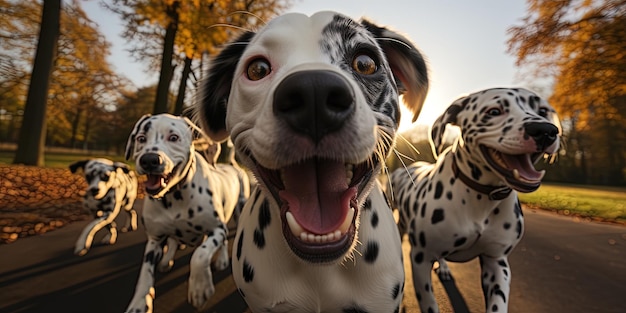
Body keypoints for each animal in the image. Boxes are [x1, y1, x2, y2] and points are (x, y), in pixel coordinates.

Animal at [122, 113, 249, 312]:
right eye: (141, 138)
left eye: (173, 137)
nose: (149, 159)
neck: (174, 197)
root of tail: (232, 165)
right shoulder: (155, 239)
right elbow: (145, 274)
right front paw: (139, 303)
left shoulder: (217, 229)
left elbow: (200, 255)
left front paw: (199, 287)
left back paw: (221, 259)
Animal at [390, 88, 560, 312]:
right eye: (494, 111)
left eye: (543, 110)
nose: (545, 131)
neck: (481, 197)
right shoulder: (420, 258)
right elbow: (429, 303)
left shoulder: (496, 262)